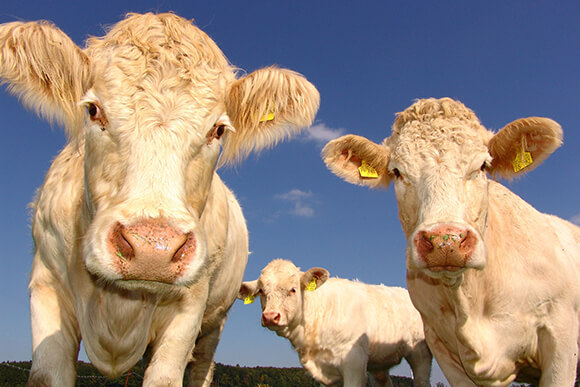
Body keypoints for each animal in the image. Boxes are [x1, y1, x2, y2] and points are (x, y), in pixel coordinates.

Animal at [0, 12, 320, 387]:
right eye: (93, 110)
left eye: (218, 130)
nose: (152, 249)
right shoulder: (46, 286)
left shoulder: (190, 308)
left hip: (214, 323)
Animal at [238, 260, 432, 386]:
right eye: (261, 291)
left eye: (293, 289)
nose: (271, 316)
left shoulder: (354, 363)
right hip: (379, 363)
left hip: (420, 351)